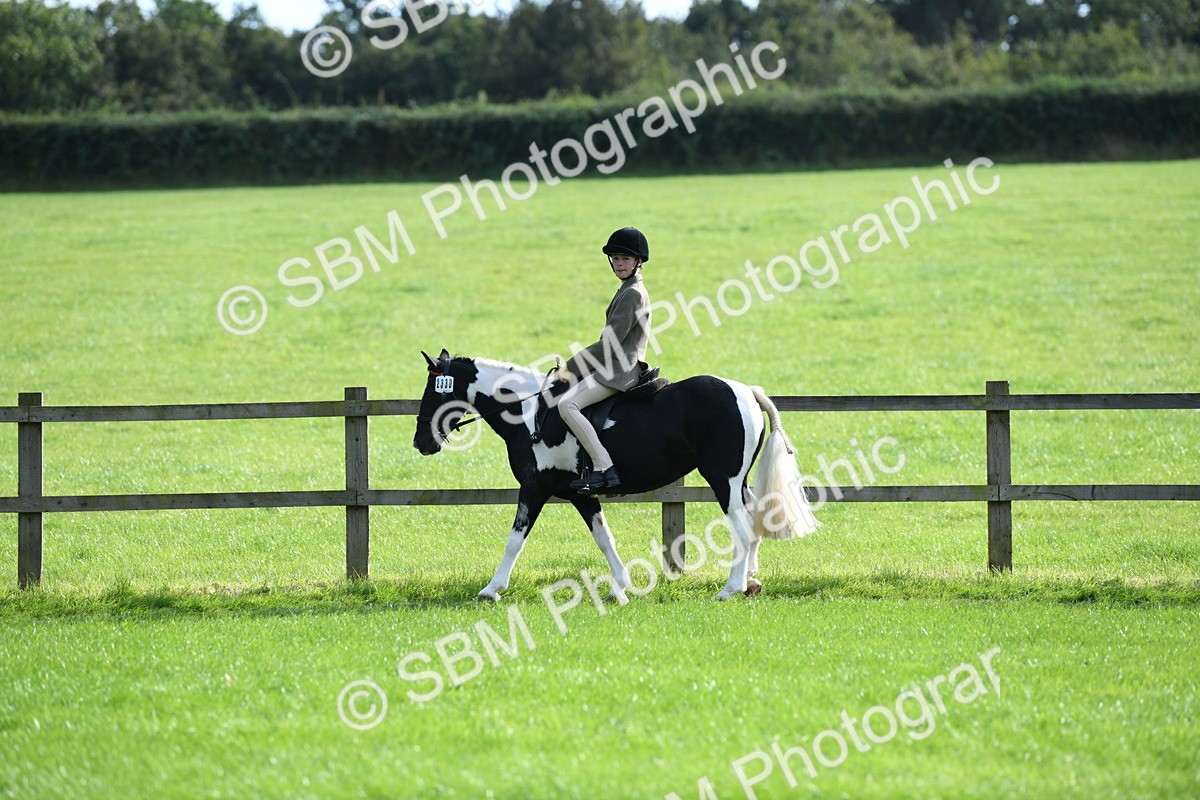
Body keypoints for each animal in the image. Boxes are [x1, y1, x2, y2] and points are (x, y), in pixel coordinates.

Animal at [412, 349, 818, 602]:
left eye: (434, 390)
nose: (420, 443)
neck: (529, 414)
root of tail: (745, 391)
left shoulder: (534, 488)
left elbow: (515, 540)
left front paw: (492, 588)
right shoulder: (580, 493)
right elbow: (604, 537)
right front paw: (620, 586)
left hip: (723, 480)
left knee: (743, 528)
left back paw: (730, 589)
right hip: (738, 482)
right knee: (754, 526)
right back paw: (750, 582)